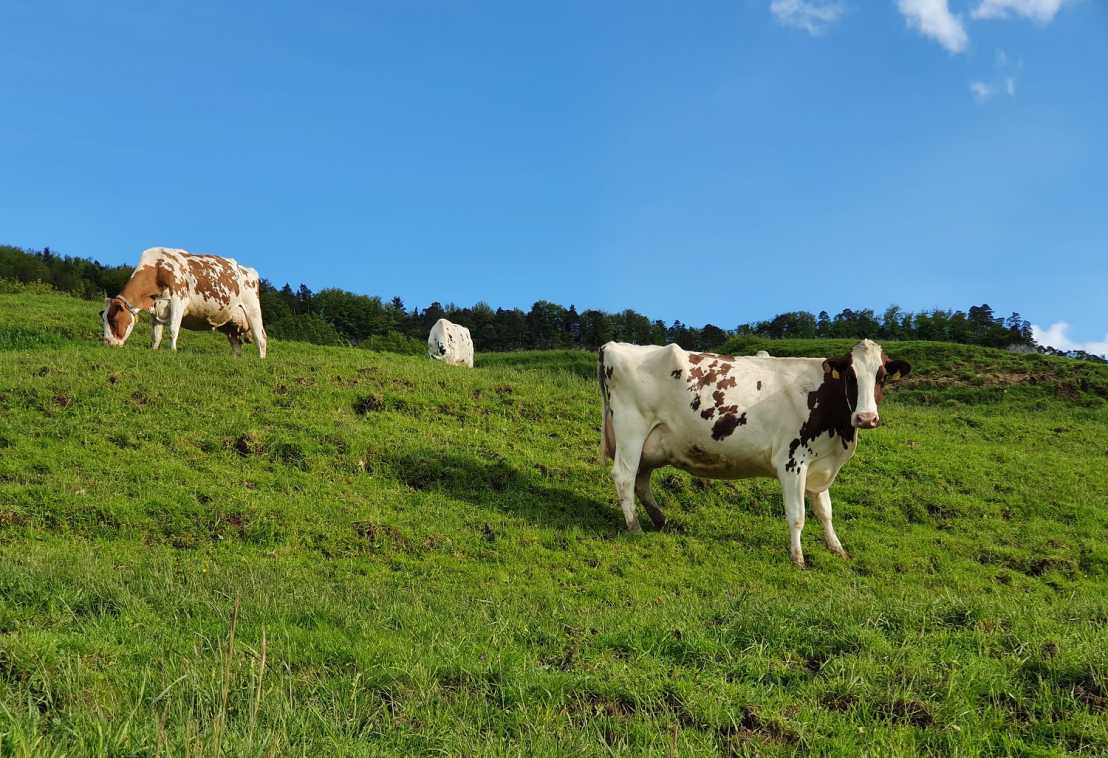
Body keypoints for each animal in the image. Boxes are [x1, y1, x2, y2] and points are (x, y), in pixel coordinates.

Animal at [103, 246, 269, 359]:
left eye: (113, 319)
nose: (107, 343)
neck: (157, 268)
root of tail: (249, 270)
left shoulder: (179, 300)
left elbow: (173, 329)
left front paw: (173, 351)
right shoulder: (156, 308)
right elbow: (156, 335)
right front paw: (154, 350)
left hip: (252, 310)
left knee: (260, 337)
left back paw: (261, 360)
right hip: (231, 323)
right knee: (237, 344)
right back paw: (235, 359)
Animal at [602, 341, 912, 565]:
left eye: (882, 377)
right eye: (850, 376)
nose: (866, 418)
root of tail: (614, 346)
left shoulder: (820, 464)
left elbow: (825, 511)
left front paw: (837, 548)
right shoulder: (792, 462)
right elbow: (797, 514)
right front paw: (798, 558)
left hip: (650, 445)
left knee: (641, 480)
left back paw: (660, 520)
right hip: (631, 430)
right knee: (625, 476)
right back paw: (634, 527)